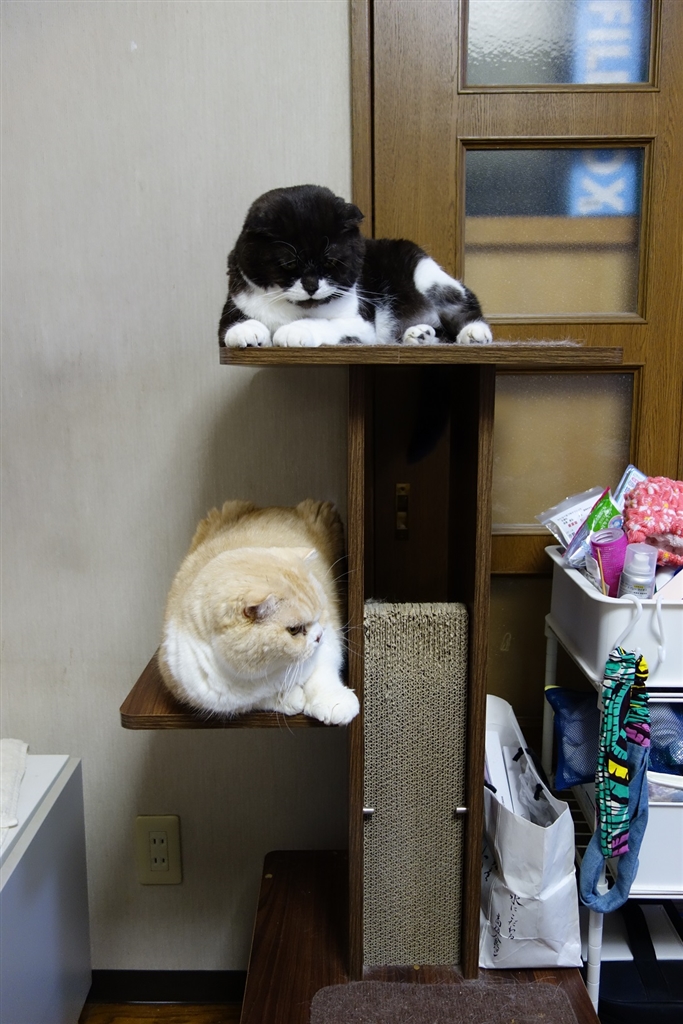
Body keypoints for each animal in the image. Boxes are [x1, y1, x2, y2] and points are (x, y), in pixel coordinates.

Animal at [158, 498, 359, 725]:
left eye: (320, 612)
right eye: (294, 630)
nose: (318, 636)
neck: (268, 672)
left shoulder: (330, 637)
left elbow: (323, 672)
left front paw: (335, 703)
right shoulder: (208, 696)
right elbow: (255, 701)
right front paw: (289, 698)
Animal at [218, 184, 492, 349]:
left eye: (330, 261)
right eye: (288, 263)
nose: (311, 286)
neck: (297, 308)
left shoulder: (360, 324)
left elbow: (325, 323)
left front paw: (293, 331)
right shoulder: (235, 302)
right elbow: (231, 326)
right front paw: (246, 332)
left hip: (427, 275)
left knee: (463, 304)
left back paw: (473, 333)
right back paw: (419, 334)